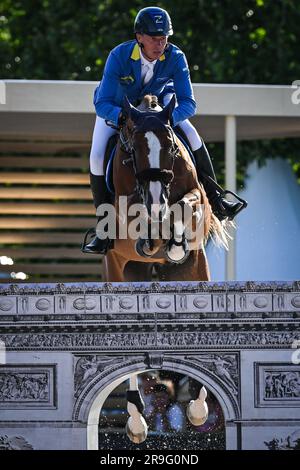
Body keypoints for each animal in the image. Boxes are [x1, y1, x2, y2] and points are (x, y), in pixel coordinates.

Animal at [103, 93, 227, 280]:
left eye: (171, 147)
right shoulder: (124, 209)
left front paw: (176, 245)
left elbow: (183, 206)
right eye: (134, 149)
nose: (156, 202)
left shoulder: (198, 196)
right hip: (117, 267)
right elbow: (139, 215)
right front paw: (154, 235)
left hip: (195, 270)